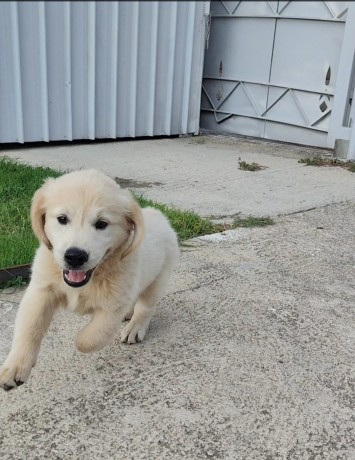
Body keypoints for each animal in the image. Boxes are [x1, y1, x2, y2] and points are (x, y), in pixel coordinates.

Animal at [0, 170, 178, 392]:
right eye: (62, 219)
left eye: (102, 224)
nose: (75, 256)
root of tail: (159, 215)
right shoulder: (40, 291)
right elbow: (28, 328)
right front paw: (15, 368)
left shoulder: (112, 308)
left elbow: (89, 339)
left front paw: (79, 338)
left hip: (158, 279)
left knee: (145, 307)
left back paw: (135, 328)